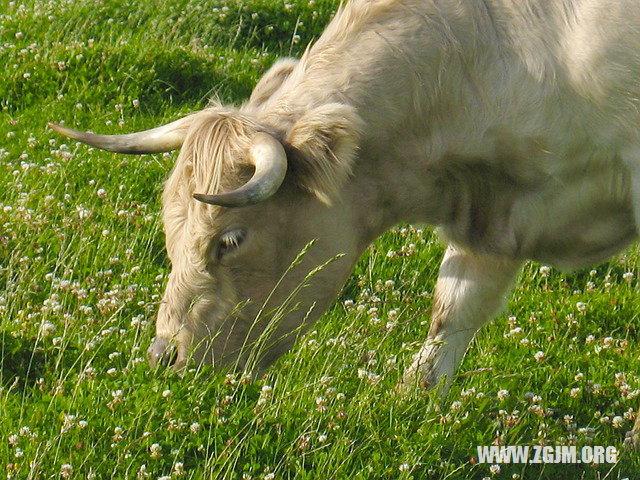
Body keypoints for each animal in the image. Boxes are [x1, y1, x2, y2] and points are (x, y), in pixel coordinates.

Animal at [50, 0, 640, 436]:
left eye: (230, 240)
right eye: (170, 233)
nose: (162, 358)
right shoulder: (494, 222)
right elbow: (452, 313)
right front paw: (413, 401)